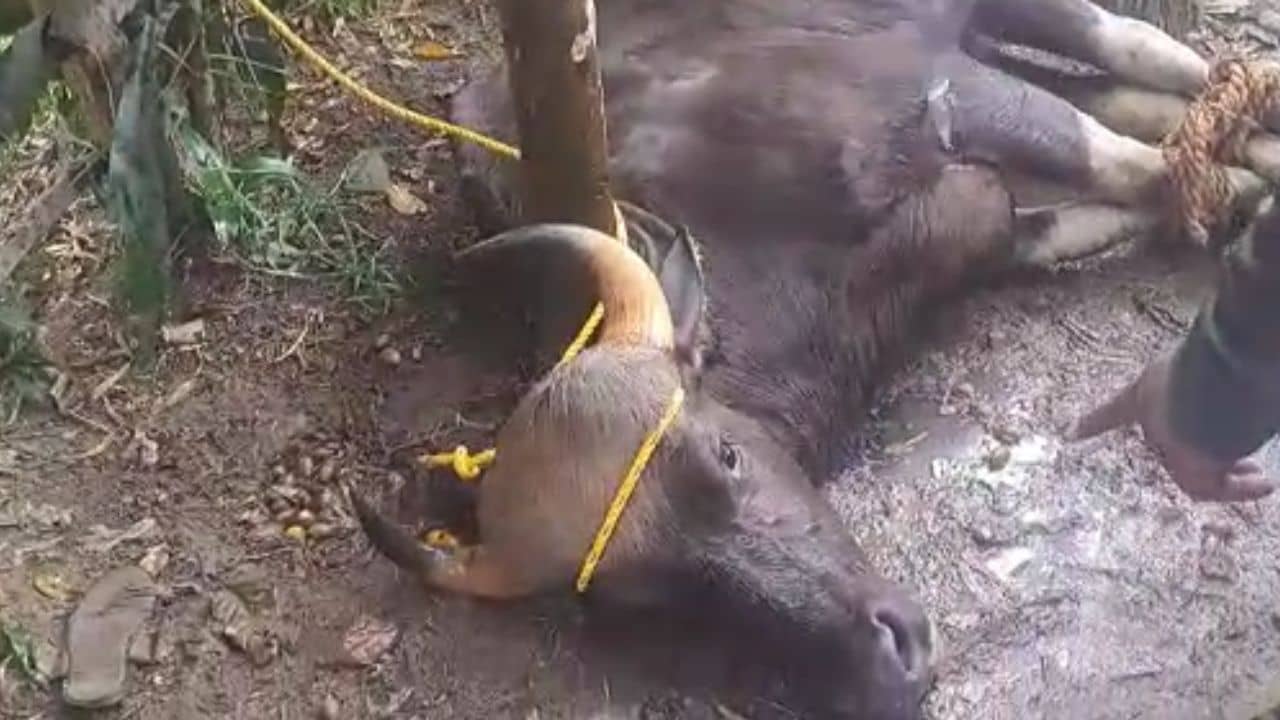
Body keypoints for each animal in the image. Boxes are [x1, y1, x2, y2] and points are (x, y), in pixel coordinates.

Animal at [351, 1, 1280, 717]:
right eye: (646, 597)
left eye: (725, 454)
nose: (893, 660)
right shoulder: (968, 217)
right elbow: (1097, 189)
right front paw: (1237, 182)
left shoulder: (924, 89)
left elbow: (1133, 162)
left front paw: (1239, 189)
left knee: (1136, 52)